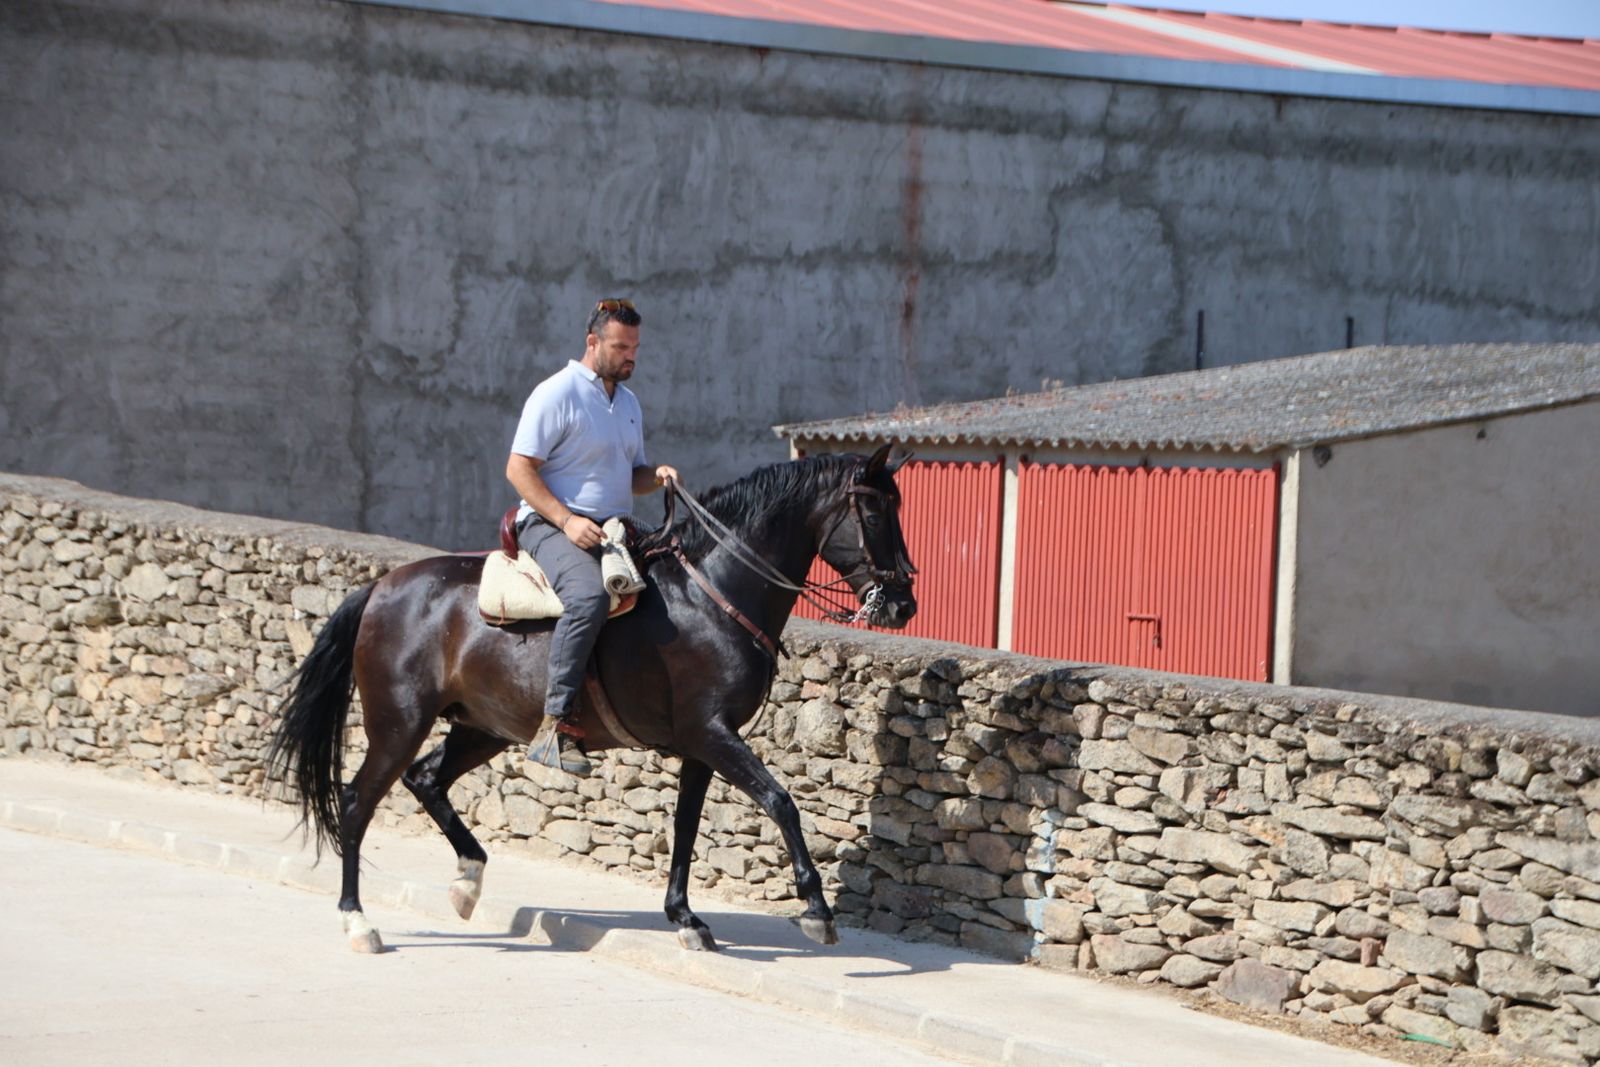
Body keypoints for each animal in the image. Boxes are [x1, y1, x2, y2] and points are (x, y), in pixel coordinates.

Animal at [266, 445, 917, 953]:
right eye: (875, 509)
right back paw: (358, 923)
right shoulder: (711, 734)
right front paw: (816, 911)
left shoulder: (700, 746)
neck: (711, 595)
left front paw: (685, 918)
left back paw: (467, 882)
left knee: (426, 780)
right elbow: (782, 802)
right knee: (357, 802)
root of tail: (381, 587)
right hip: (399, 722)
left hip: (482, 728)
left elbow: (686, 825)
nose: (904, 602)